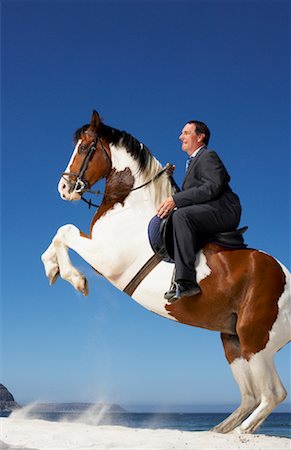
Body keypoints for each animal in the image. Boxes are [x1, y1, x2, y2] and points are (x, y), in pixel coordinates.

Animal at [41, 110, 291, 434]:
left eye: (84, 148)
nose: (64, 189)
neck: (129, 204)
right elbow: (60, 235)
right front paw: (52, 269)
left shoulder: (106, 257)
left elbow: (65, 231)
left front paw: (76, 279)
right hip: (233, 341)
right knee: (250, 396)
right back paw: (218, 432)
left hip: (256, 340)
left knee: (272, 394)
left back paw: (240, 433)